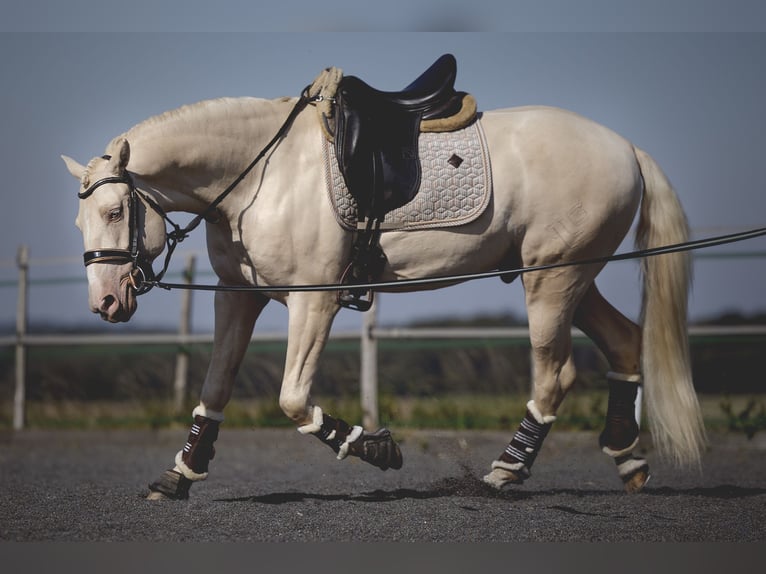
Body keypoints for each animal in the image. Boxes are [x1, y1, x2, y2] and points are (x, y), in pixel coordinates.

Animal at [63, 59, 704, 500]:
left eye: (116, 212)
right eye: (80, 221)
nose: (106, 303)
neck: (261, 175)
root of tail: (626, 147)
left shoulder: (313, 300)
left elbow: (293, 399)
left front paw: (374, 447)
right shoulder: (237, 298)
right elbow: (215, 387)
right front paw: (179, 475)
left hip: (553, 280)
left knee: (556, 374)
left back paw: (504, 472)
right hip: (570, 275)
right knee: (624, 343)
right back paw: (627, 459)